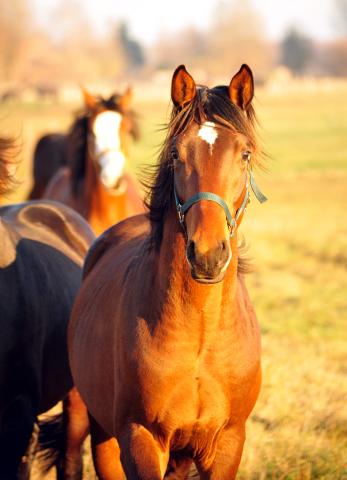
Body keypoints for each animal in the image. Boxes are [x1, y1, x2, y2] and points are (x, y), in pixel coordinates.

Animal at [68, 64, 270, 480]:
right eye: (176, 153)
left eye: (244, 154)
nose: (207, 254)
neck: (201, 335)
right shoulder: (141, 439)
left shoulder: (227, 444)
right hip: (92, 424)